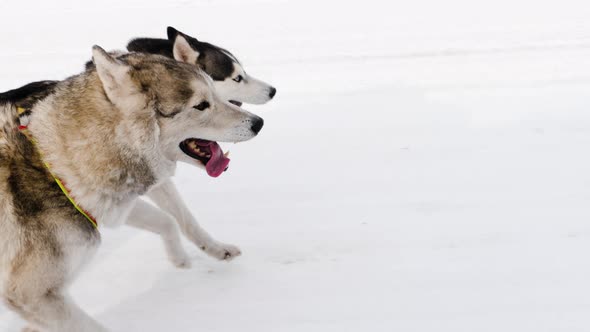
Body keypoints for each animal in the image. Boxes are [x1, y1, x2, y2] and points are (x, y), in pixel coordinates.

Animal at [0, 45, 264, 330]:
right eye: (201, 105)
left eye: (216, 92)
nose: (258, 123)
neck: (52, 164)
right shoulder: (32, 294)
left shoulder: (112, 203)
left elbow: (170, 221)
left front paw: (186, 257)